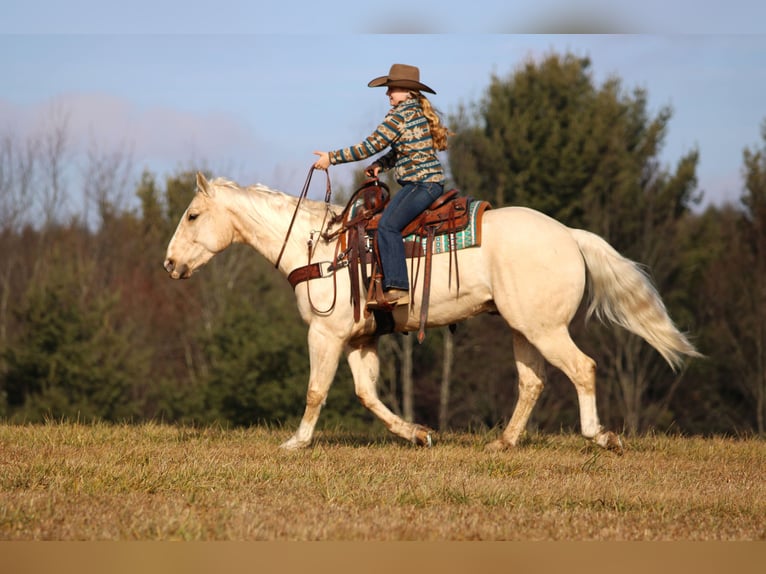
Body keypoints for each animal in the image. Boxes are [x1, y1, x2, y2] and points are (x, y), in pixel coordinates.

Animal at [164, 172, 701, 454]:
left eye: (193, 215)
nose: (169, 264)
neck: (320, 248)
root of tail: (570, 235)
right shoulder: (360, 338)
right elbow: (367, 394)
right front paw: (418, 432)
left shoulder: (326, 334)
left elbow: (317, 390)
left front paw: (296, 443)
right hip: (524, 329)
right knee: (532, 383)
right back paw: (503, 443)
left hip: (545, 329)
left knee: (582, 368)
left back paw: (600, 436)